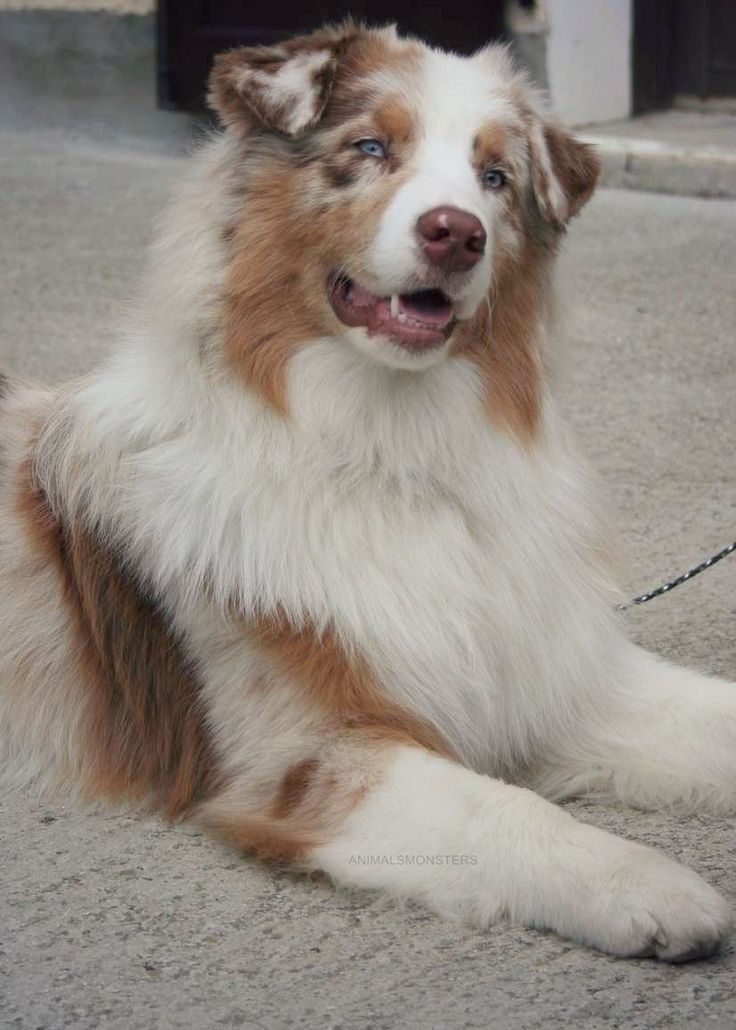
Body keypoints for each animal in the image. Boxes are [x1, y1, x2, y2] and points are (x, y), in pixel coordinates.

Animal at [1, 22, 736, 955]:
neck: (392, 452)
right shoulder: (303, 758)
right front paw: (645, 883)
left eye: (494, 176)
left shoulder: (548, 674)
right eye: (370, 149)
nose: (456, 233)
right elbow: (506, 809)